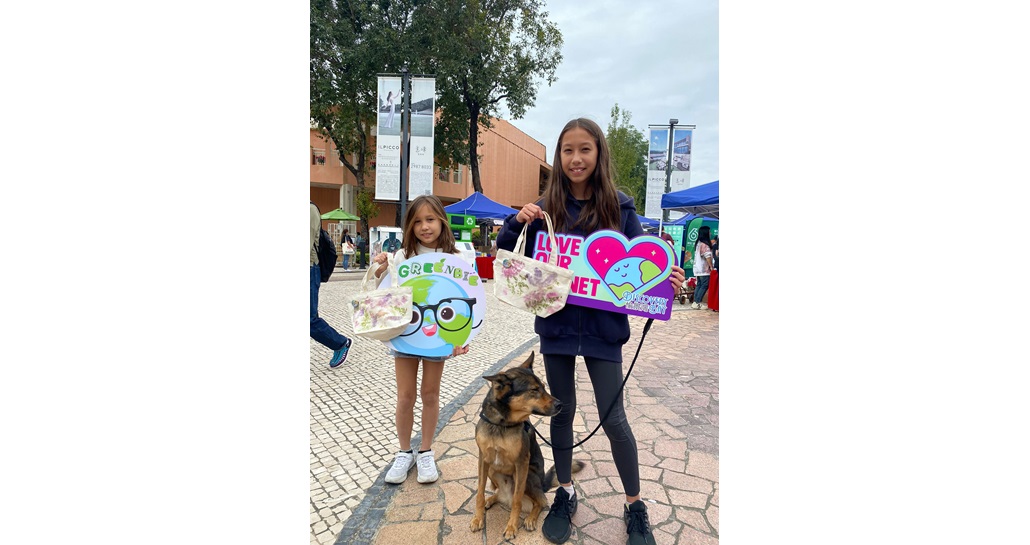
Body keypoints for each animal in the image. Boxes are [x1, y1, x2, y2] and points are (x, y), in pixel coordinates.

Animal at [469, 351, 584, 539]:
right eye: (534, 390)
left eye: (543, 386)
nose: (560, 404)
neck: (501, 423)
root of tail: (542, 484)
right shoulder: (483, 460)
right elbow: (479, 492)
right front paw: (478, 518)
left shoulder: (521, 463)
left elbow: (517, 500)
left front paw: (511, 527)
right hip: (493, 469)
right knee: (499, 493)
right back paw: (491, 500)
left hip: (526, 476)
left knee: (541, 501)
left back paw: (530, 518)